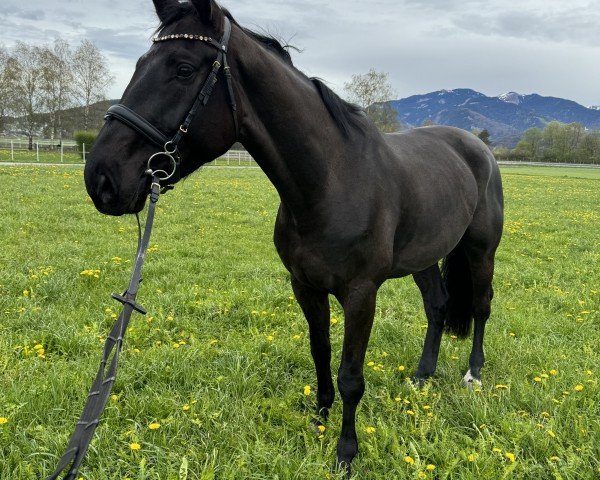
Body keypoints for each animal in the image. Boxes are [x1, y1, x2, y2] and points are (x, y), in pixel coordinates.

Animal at [84, 0, 504, 472]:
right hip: (425, 256)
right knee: (437, 304)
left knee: (482, 306)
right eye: (140, 63)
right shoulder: (305, 285)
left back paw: (473, 375)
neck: (331, 182)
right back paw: (421, 375)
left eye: (184, 69)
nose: (100, 177)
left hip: (480, 250)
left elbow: (351, 375)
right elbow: (320, 352)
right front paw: (320, 419)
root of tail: (477, 146)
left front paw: (345, 453)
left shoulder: (361, 294)